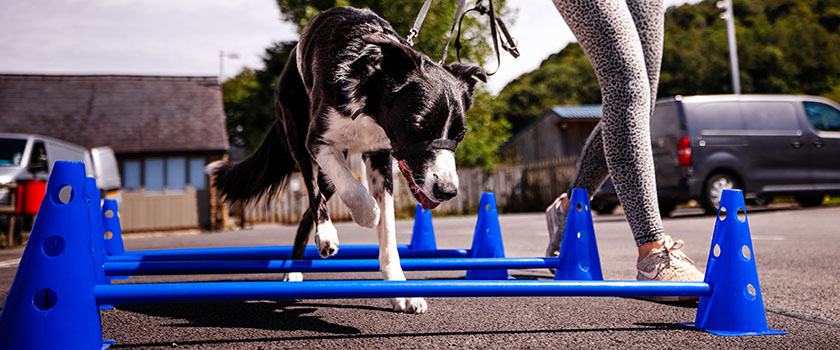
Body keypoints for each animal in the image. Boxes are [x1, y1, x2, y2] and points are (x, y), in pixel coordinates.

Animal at [207, 6, 486, 314]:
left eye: (460, 134)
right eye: (420, 125)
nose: (447, 191)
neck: (369, 91)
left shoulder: (380, 154)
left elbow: (388, 229)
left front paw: (400, 290)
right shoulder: (318, 141)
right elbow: (354, 190)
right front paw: (367, 213)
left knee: (309, 210)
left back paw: (299, 263)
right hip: (298, 137)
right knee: (315, 193)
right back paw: (317, 245)